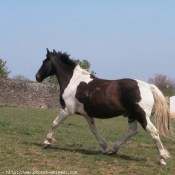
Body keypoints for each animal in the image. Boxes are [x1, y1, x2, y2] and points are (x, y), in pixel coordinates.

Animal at [34, 49, 174, 165]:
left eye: (44, 62)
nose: (37, 77)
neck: (73, 82)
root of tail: (148, 86)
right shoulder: (87, 114)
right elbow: (94, 130)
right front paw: (103, 147)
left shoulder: (67, 109)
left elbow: (55, 123)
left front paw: (47, 142)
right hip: (132, 115)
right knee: (132, 131)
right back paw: (113, 149)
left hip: (142, 116)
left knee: (153, 132)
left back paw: (162, 158)